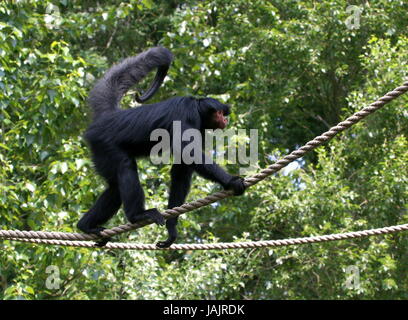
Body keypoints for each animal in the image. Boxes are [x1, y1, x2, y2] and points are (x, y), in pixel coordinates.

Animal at [78, 47, 247, 248]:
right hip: (104, 144)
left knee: (115, 188)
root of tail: (109, 117)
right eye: (220, 112)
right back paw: (137, 215)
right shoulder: (186, 114)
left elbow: (181, 169)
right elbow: (189, 153)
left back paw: (86, 226)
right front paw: (231, 181)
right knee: (125, 166)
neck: (196, 106)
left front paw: (171, 228)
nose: (225, 119)